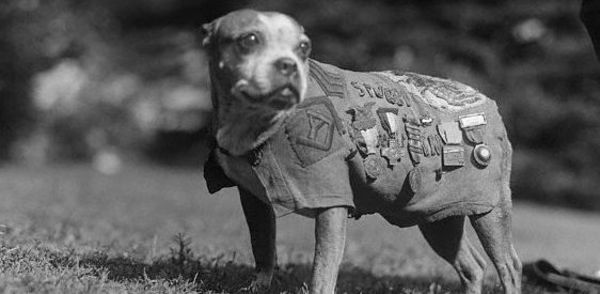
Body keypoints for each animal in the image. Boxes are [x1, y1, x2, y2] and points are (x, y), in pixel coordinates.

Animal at [200, 9, 520, 294]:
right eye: (249, 40)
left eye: (304, 47)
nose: (288, 64)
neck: (258, 123)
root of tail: (487, 101)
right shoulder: (252, 199)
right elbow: (263, 248)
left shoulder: (332, 203)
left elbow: (322, 271)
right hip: (439, 217)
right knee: (472, 266)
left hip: (490, 210)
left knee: (509, 266)